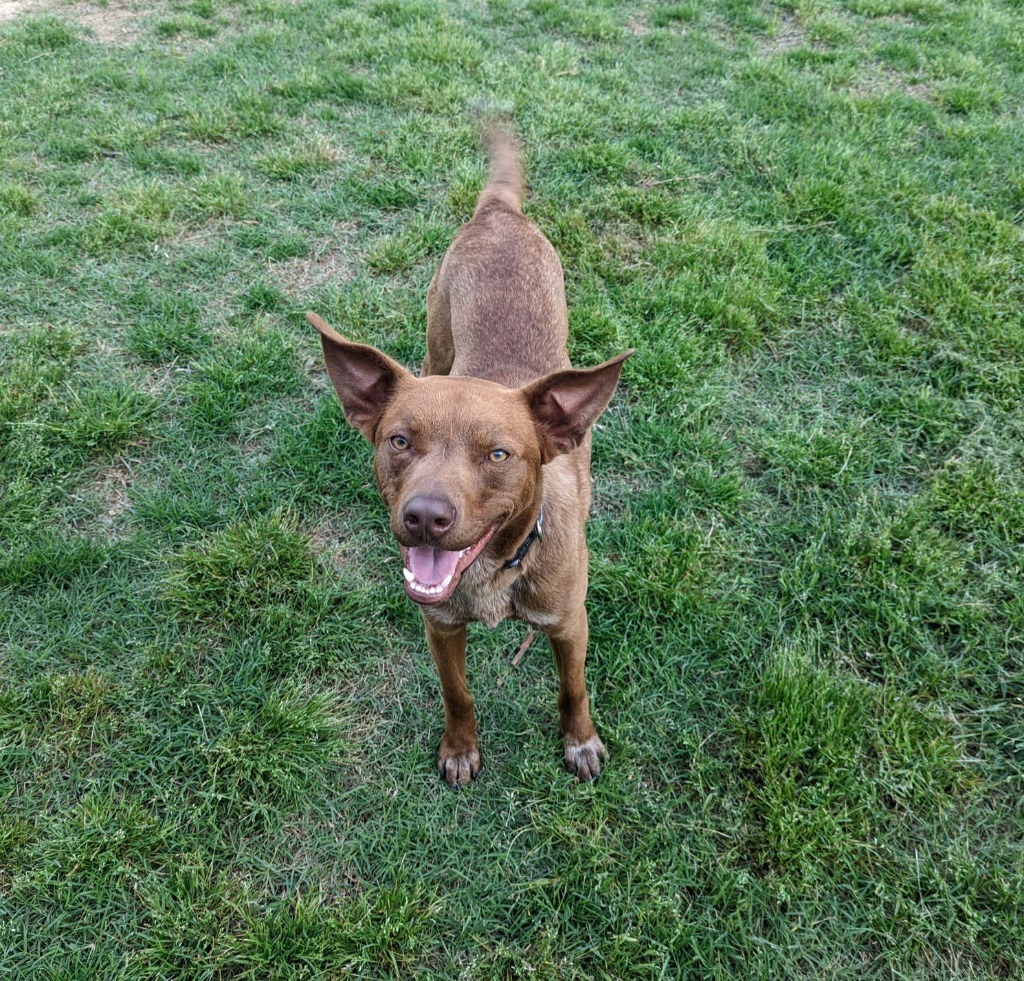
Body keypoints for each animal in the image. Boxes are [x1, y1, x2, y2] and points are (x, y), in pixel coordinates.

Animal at [307, 128, 630, 790]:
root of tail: (498, 211)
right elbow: (458, 694)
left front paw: (580, 741)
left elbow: (574, 689)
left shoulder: (569, 624)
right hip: (436, 339)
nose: (425, 518)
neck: (494, 573)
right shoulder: (441, 626)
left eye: (499, 454)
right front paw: (459, 747)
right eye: (399, 441)